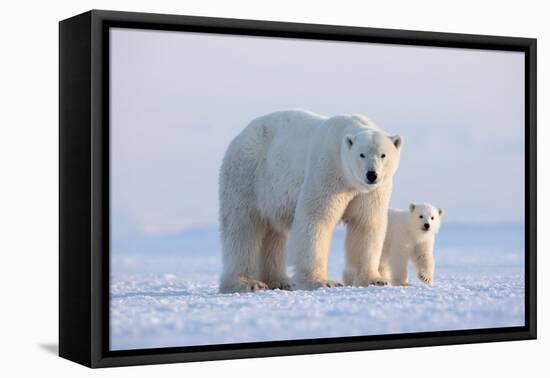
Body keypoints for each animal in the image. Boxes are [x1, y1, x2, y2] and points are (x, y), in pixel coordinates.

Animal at [220, 109, 406, 292]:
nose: (372, 174)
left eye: (383, 155)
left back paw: (279, 281)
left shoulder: (369, 192)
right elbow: (316, 219)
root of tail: (239, 136)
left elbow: (366, 224)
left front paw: (375, 280)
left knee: (274, 233)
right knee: (242, 227)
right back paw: (247, 283)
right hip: (248, 175)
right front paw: (322, 281)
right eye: (361, 154)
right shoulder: (328, 172)